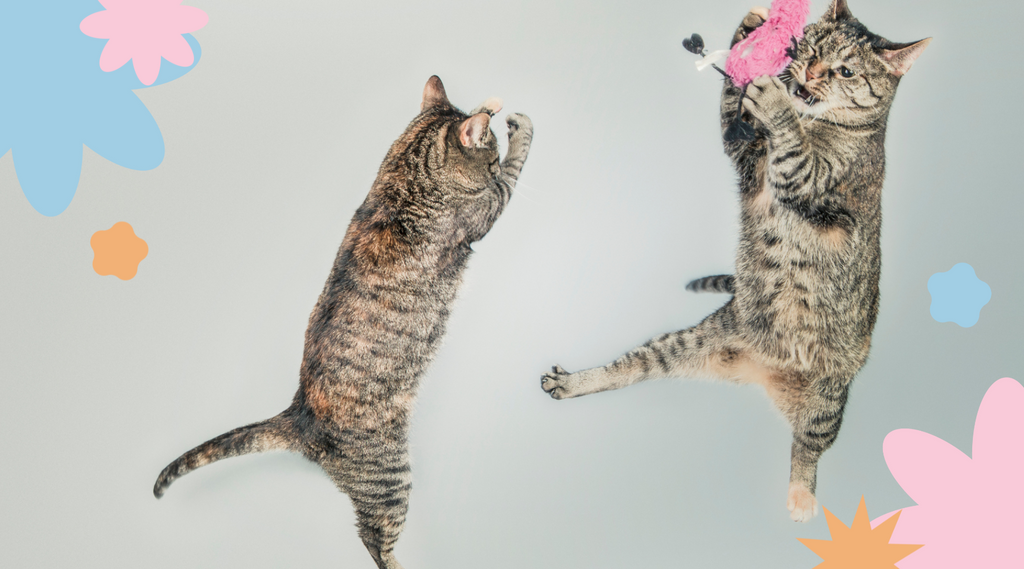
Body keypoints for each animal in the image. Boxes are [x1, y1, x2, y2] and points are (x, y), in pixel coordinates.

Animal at [154, 76, 536, 569]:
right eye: (487, 161)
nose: (487, 169)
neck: (405, 175)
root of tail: (298, 413)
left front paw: (491, 107)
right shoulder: (486, 208)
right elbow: (514, 167)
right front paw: (514, 125)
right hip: (389, 477)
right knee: (374, 540)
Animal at [544, 0, 929, 521]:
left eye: (846, 71)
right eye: (809, 50)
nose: (808, 73)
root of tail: (762, 373)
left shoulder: (807, 181)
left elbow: (793, 148)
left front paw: (774, 96)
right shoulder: (744, 155)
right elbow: (732, 103)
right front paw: (751, 26)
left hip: (826, 402)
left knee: (807, 448)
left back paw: (801, 498)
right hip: (686, 342)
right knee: (631, 367)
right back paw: (575, 382)